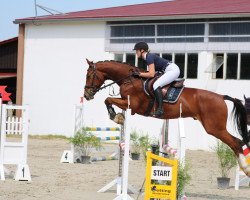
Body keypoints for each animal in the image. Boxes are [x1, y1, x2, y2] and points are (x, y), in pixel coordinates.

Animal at [84, 58, 250, 177]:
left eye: (89, 75)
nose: (87, 95)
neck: (129, 79)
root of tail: (221, 97)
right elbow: (108, 100)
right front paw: (118, 116)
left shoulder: (133, 105)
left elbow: (108, 99)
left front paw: (116, 117)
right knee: (237, 142)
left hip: (214, 128)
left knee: (236, 142)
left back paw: (245, 168)